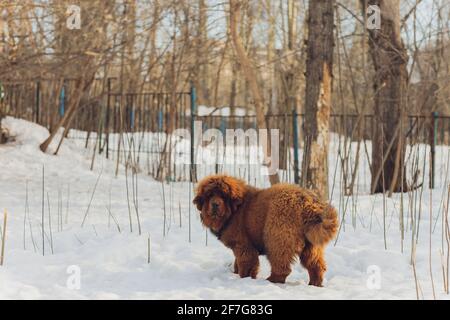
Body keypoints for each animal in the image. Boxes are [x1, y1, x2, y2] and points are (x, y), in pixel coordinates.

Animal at [193, 175, 338, 284]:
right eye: (209, 195)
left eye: (223, 196)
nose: (215, 204)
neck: (234, 211)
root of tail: (308, 203)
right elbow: (237, 262)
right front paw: (235, 272)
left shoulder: (243, 245)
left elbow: (245, 263)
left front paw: (243, 278)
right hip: (312, 244)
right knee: (316, 266)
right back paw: (315, 284)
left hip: (276, 236)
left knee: (281, 265)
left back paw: (271, 280)